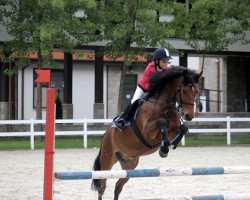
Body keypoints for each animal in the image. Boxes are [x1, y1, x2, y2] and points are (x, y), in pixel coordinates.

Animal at [91, 66, 202, 199]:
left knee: (118, 186)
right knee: (102, 186)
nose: (189, 115)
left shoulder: (174, 128)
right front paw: (164, 149)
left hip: (129, 164)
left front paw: (167, 146)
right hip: (107, 160)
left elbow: (182, 128)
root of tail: (105, 134)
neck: (164, 106)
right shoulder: (148, 132)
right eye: (184, 90)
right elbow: (162, 122)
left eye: (197, 91)